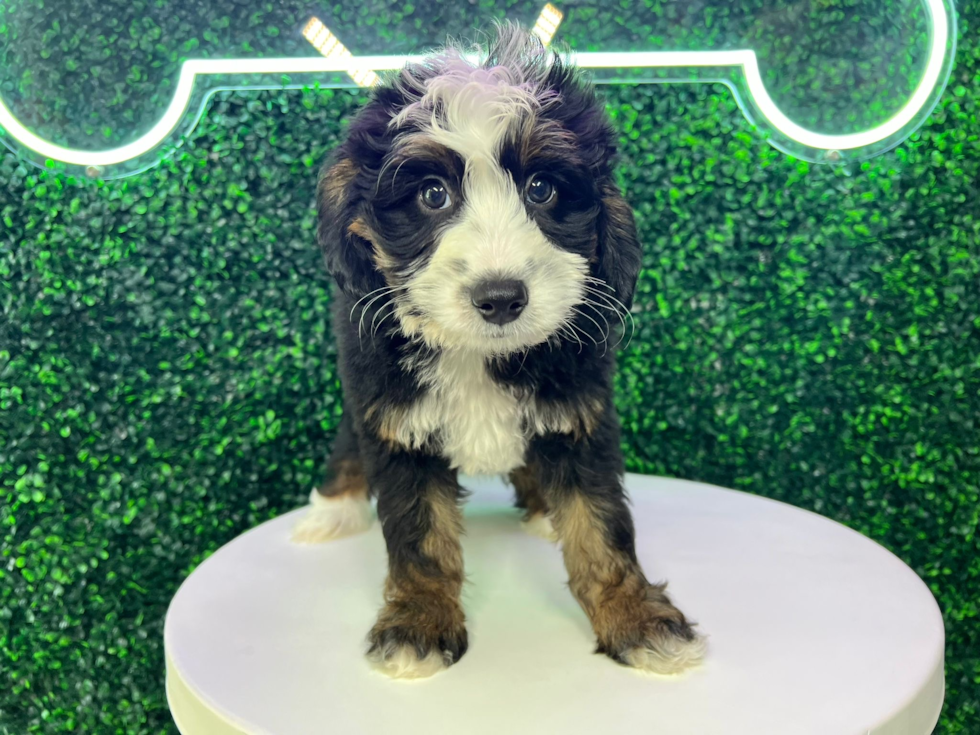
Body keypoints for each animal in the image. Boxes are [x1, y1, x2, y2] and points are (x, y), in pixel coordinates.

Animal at [290, 23, 704, 680]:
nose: (501, 297)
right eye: (432, 194)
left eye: (542, 189)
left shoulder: (580, 412)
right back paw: (332, 510)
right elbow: (418, 534)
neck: (476, 354)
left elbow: (600, 525)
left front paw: (637, 619)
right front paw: (419, 623)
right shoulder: (395, 419)